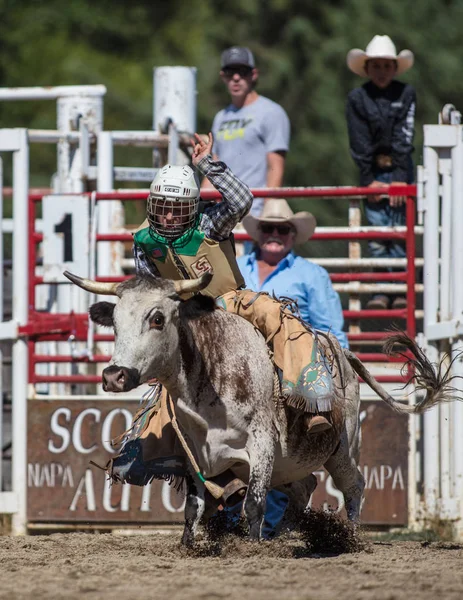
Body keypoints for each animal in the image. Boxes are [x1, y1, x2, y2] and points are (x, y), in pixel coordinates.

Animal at [65, 270, 460, 544]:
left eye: (157, 318)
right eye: (114, 323)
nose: (114, 375)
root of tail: (341, 350)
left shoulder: (262, 445)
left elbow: (253, 503)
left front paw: (252, 546)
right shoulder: (194, 454)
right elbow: (194, 507)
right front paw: (189, 545)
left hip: (342, 448)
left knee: (354, 485)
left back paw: (348, 536)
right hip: (293, 464)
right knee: (304, 486)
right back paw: (282, 535)